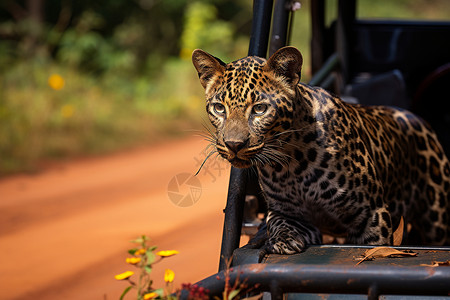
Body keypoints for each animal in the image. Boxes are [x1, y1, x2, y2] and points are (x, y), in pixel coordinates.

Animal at [191, 47, 450, 255]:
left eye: (260, 109)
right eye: (219, 108)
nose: (234, 144)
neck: (289, 163)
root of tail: (415, 117)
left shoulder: (372, 215)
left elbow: (372, 245)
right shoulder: (289, 212)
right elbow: (276, 223)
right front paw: (283, 241)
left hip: (436, 217)